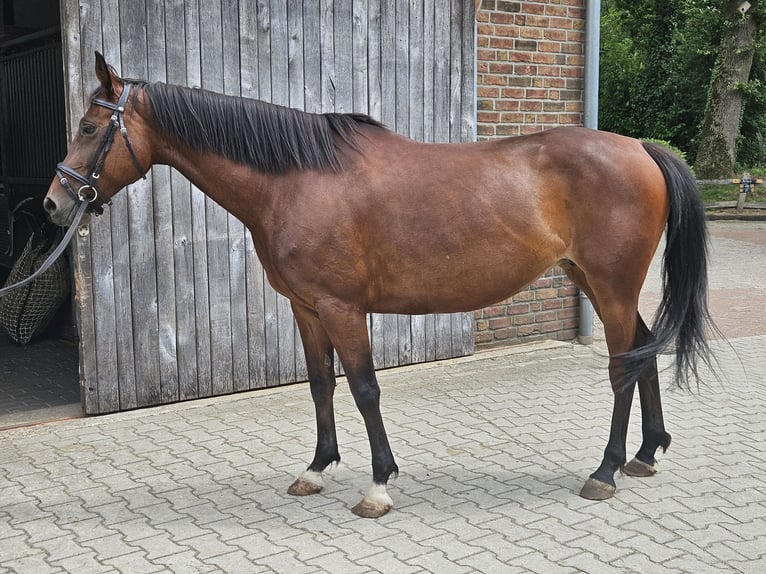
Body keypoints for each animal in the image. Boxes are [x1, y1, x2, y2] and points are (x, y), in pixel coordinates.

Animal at [44, 53, 714, 518]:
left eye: (88, 128)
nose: (54, 204)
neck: (296, 179)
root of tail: (641, 149)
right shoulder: (307, 308)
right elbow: (321, 385)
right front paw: (316, 469)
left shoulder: (342, 308)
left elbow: (365, 388)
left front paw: (378, 485)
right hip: (599, 284)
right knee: (643, 351)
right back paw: (645, 454)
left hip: (611, 284)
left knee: (624, 364)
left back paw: (605, 470)